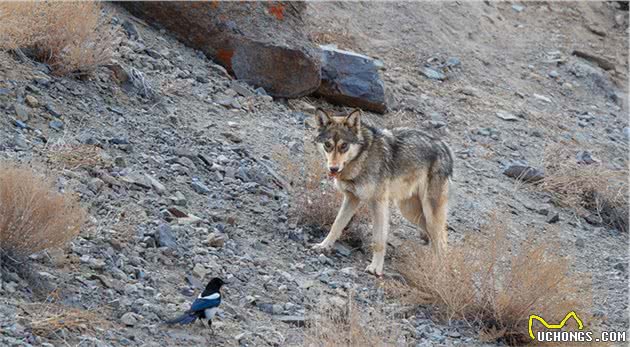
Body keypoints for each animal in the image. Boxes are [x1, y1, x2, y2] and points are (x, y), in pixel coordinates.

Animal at [312, 109, 454, 278]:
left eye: (344, 146)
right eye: (328, 145)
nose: (333, 169)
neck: (363, 157)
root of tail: (445, 146)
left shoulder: (378, 203)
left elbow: (379, 240)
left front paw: (375, 269)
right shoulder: (352, 198)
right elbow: (336, 225)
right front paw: (324, 246)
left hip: (429, 214)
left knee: (442, 240)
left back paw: (441, 271)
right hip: (410, 212)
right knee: (434, 238)